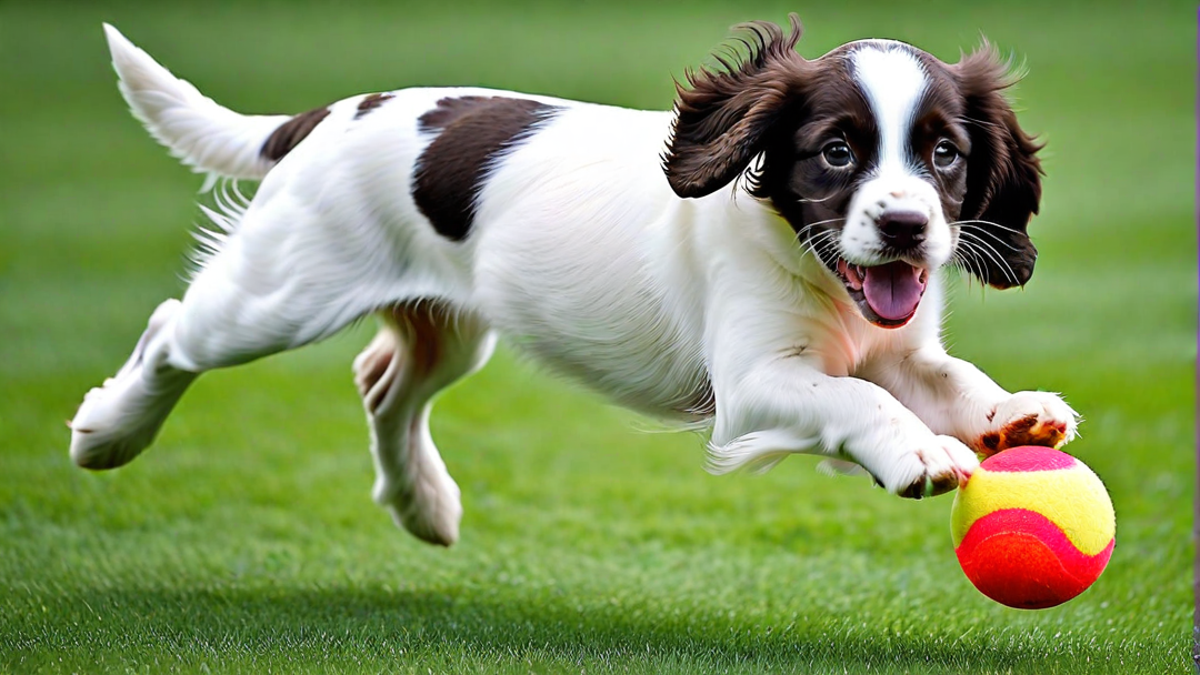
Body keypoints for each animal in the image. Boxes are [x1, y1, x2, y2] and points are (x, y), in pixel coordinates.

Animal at [70, 15, 1080, 542]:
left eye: (944, 155)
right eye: (837, 151)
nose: (907, 227)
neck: (814, 264)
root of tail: (325, 116)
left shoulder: (894, 346)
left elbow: (948, 376)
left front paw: (1013, 412)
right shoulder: (754, 383)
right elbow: (861, 401)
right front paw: (919, 453)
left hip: (448, 323)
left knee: (384, 380)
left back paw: (424, 505)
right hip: (282, 294)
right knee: (174, 328)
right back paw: (108, 433)